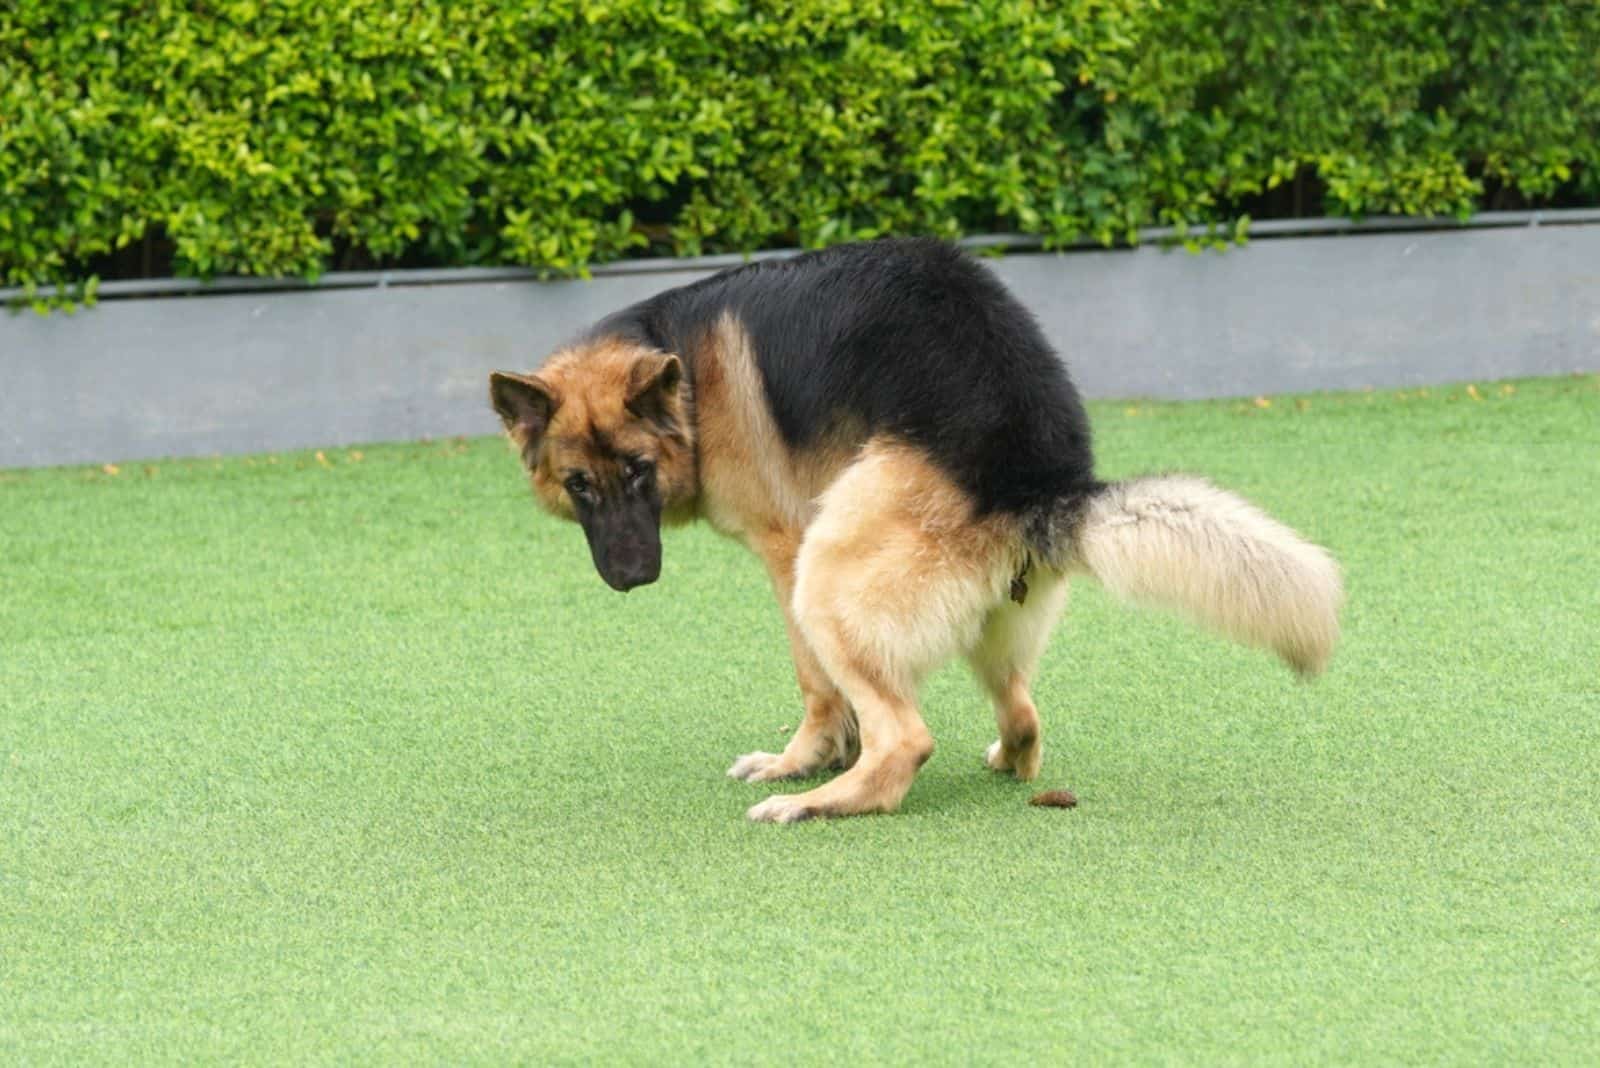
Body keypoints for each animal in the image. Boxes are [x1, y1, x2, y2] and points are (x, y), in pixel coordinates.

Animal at [486, 241, 1337, 824]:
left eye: (639, 471)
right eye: (579, 485)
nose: (632, 574)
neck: (689, 377)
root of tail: (1038, 482)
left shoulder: (782, 552)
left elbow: (817, 688)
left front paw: (803, 762)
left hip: (826, 577)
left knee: (905, 741)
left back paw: (820, 802)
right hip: (988, 626)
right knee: (1023, 716)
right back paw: (999, 760)